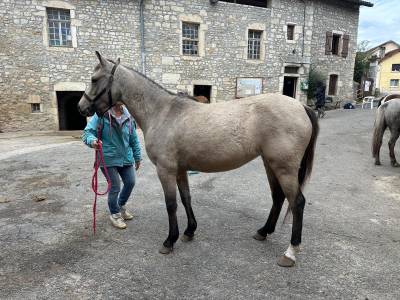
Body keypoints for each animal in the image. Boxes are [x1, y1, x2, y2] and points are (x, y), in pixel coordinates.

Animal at [78, 52, 318, 268]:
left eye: (94, 79)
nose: (81, 107)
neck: (163, 113)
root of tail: (301, 106)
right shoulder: (180, 169)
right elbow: (186, 198)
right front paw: (189, 231)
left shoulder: (165, 170)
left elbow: (171, 204)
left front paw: (169, 241)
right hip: (270, 164)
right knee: (278, 197)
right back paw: (263, 231)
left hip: (284, 168)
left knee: (297, 202)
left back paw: (290, 252)